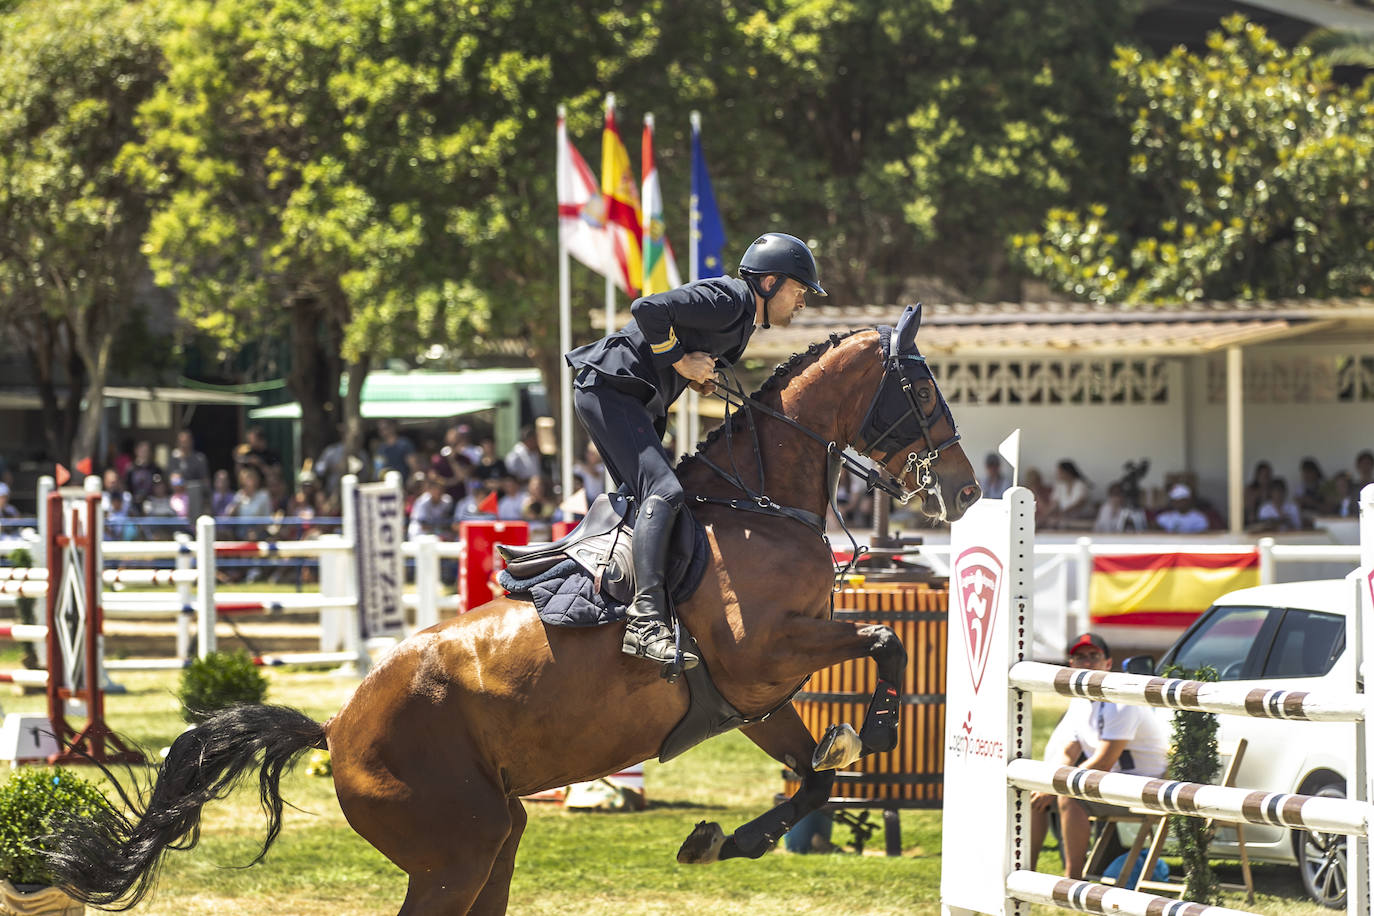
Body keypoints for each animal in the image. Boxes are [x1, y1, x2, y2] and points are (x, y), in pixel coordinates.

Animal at [48, 304, 983, 911]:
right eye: (924, 390)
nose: (970, 490)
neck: (761, 503)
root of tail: (335, 729)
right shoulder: (765, 656)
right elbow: (884, 636)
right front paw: (885, 728)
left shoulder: (755, 700)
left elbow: (817, 775)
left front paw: (724, 841)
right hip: (454, 853)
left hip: (494, 836)